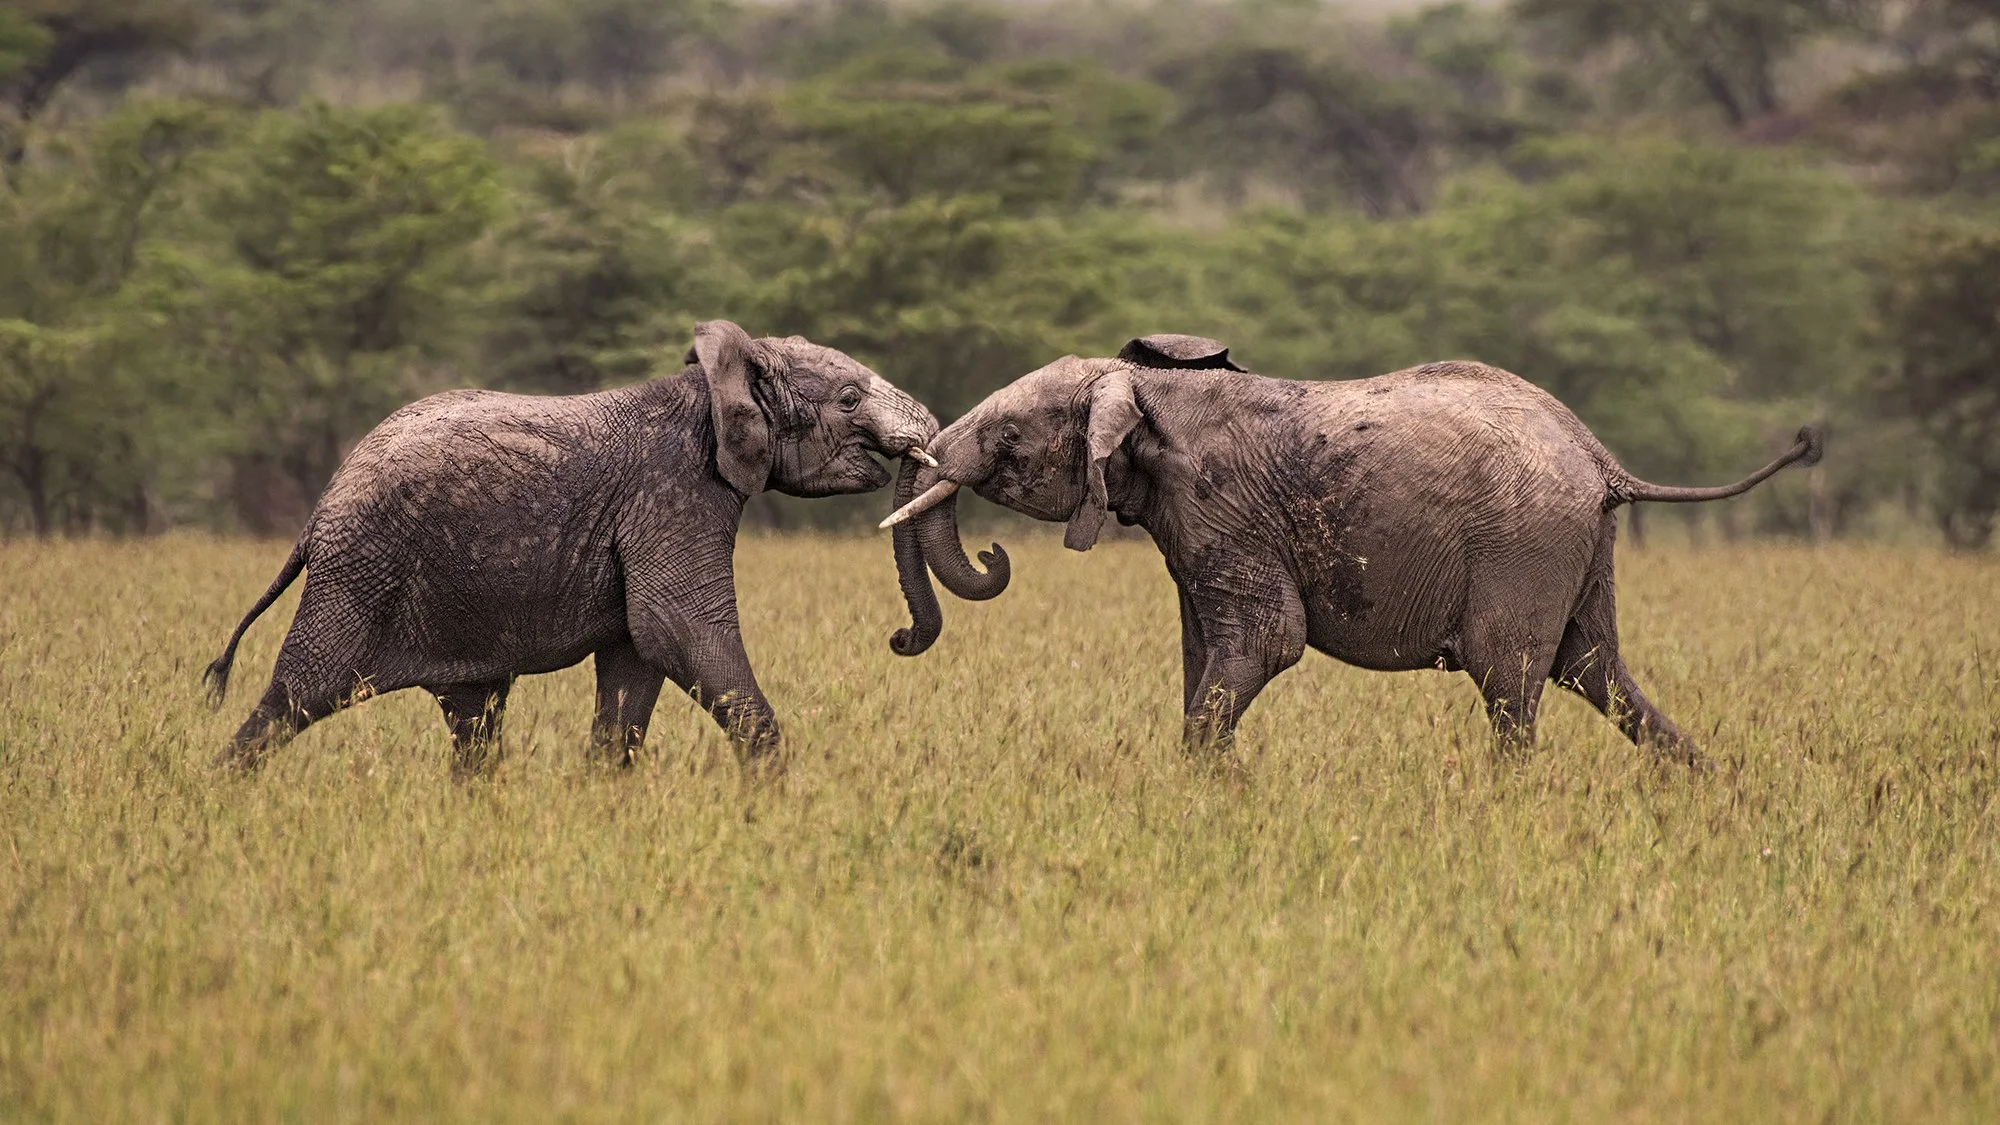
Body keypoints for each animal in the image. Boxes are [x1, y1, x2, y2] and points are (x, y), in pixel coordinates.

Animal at [205, 320, 942, 776]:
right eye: (848, 399)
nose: (900, 637)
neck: (710, 383)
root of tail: (319, 513)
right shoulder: (674, 494)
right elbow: (677, 628)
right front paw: (775, 795)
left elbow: (637, 660)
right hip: (360, 572)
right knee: (295, 697)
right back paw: (219, 794)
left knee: (473, 717)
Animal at [881, 334, 1822, 765]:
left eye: (1007, 437)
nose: (898, 639)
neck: (1145, 385)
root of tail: (1601, 459)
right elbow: (1201, 654)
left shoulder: (1222, 510)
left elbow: (1266, 644)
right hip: (1575, 546)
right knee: (1595, 671)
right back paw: (1714, 786)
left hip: (1524, 543)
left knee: (1511, 679)